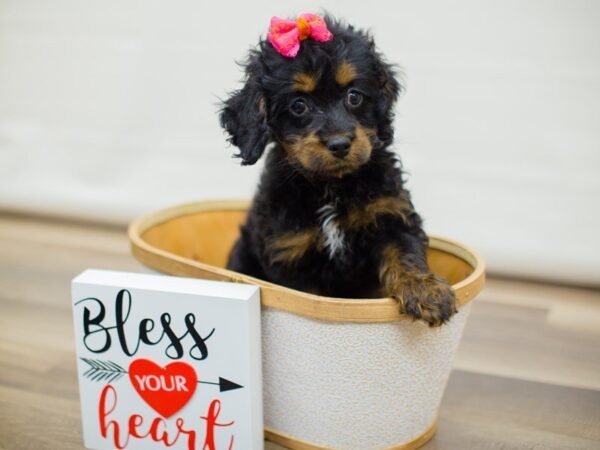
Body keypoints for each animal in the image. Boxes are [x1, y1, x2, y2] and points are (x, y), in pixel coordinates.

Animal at [218, 15, 458, 326]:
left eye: (354, 96)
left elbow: (405, 253)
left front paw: (425, 291)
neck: (332, 186)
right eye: (298, 106)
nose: (340, 144)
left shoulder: (391, 215)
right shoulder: (290, 256)